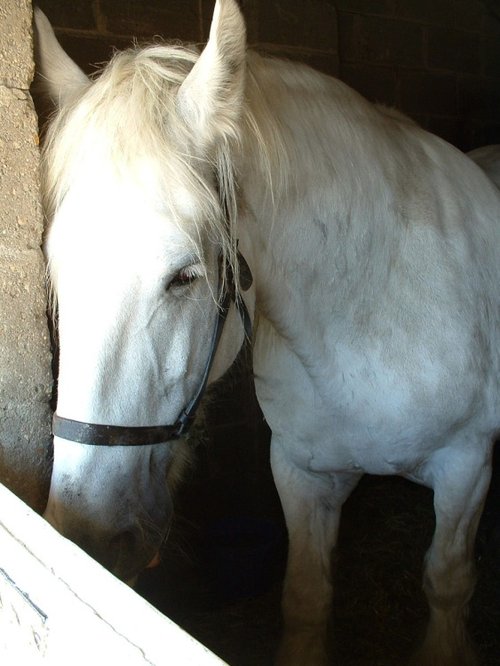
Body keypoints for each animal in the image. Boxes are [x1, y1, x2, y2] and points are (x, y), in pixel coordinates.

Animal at [35, 2, 500, 665]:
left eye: (184, 277)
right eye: (56, 267)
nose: (88, 533)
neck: (374, 300)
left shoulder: (466, 464)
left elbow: (447, 583)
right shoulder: (302, 471)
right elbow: (305, 596)